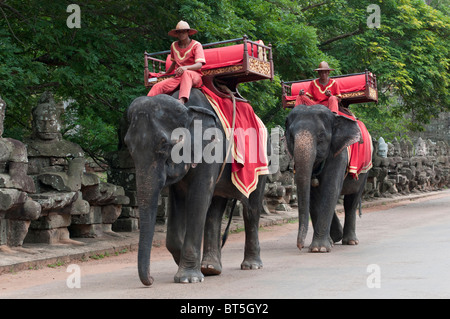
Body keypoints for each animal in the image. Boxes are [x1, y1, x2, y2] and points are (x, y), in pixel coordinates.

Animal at [124, 90, 268, 288]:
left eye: (164, 145)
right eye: (128, 146)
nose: (151, 280)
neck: (185, 105)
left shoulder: (211, 148)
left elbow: (198, 198)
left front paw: (188, 278)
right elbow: (178, 201)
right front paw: (191, 267)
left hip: (262, 161)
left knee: (251, 209)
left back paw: (251, 265)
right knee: (215, 209)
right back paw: (211, 268)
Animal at [286, 106, 370, 254]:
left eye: (321, 136)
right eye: (291, 136)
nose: (300, 246)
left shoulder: (339, 154)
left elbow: (331, 188)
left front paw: (319, 249)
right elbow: (313, 195)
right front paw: (327, 243)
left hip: (365, 171)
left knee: (351, 201)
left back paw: (350, 241)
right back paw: (336, 237)